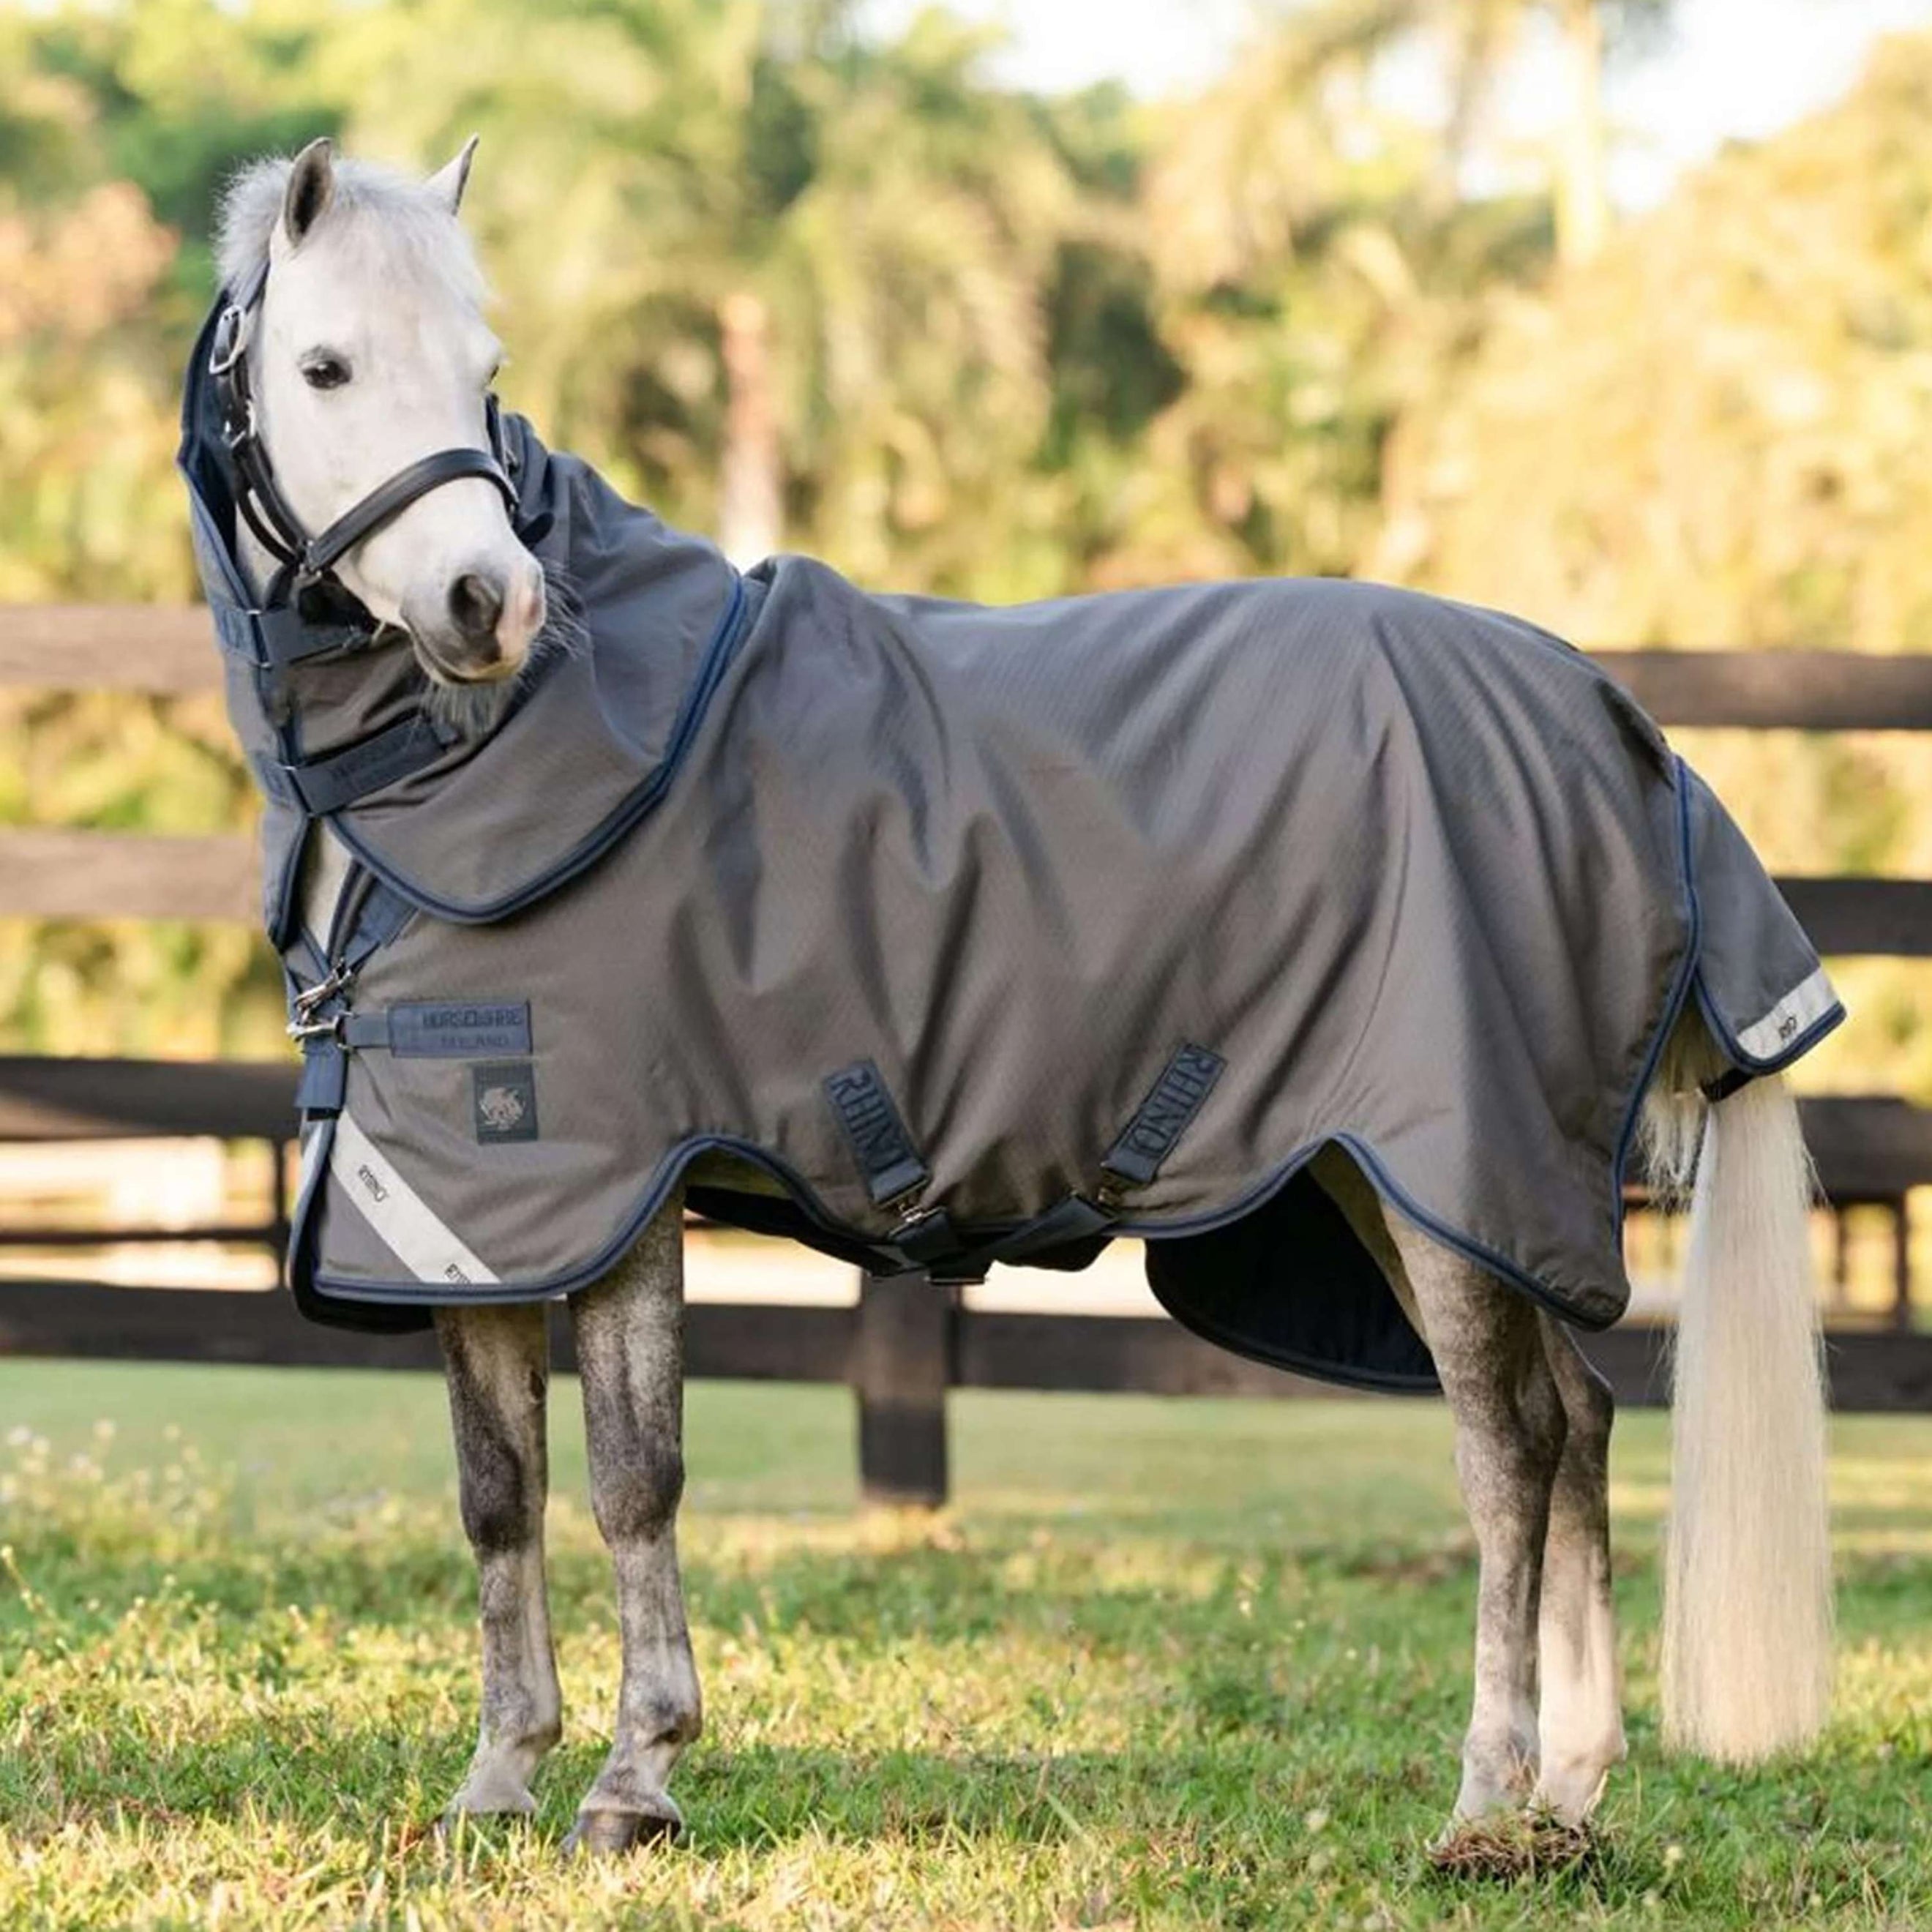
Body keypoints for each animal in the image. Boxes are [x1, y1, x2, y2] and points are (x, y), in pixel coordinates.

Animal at [189, 136, 1833, 1855]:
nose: (485, 606)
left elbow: (637, 1480)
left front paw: (636, 1779)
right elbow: (498, 1494)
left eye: (485, 372)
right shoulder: (467, 1213)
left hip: (1450, 1171)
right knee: (1576, 1421)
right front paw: (500, 1776)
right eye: (326, 365)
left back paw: (1481, 1797)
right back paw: (1566, 1796)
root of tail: (1613, 722)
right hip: (1414, 1183)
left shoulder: (613, 1191)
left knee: (1506, 1453)